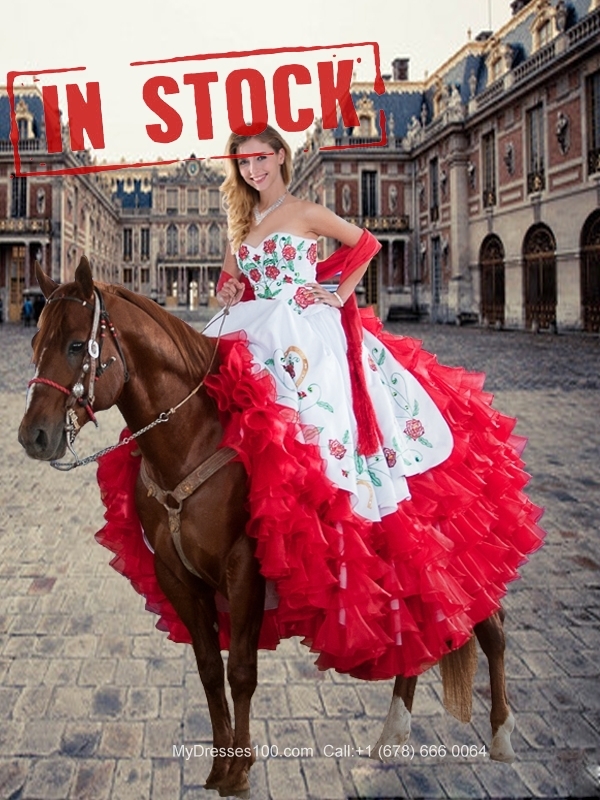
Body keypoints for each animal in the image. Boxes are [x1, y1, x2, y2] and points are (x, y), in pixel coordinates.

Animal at [17, 260, 516, 796]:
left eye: (75, 345)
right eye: (34, 341)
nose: (32, 436)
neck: (190, 437)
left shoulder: (245, 566)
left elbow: (241, 671)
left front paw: (240, 770)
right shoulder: (174, 573)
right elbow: (208, 669)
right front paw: (219, 765)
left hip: (459, 546)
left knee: (490, 628)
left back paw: (501, 737)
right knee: (421, 632)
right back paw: (392, 736)